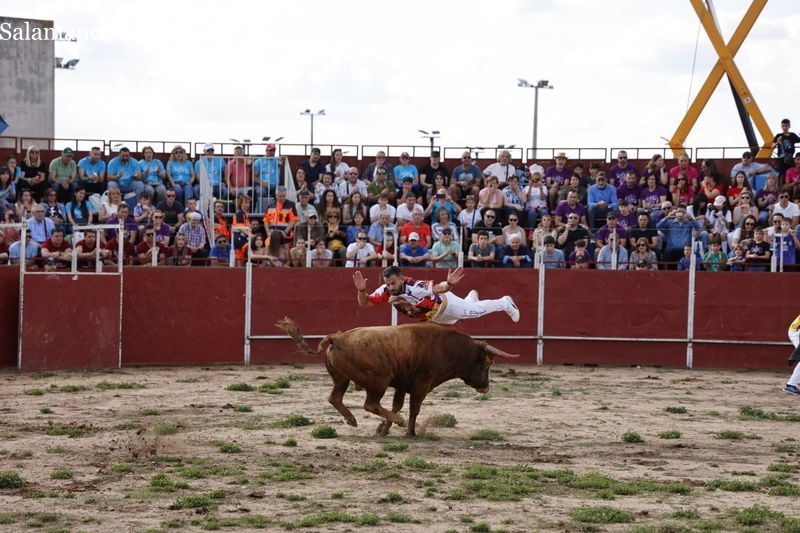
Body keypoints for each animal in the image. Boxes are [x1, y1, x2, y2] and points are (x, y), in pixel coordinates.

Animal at [276, 318, 520, 434]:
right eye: (487, 363)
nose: (485, 386)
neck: (446, 347)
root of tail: (337, 338)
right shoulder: (422, 384)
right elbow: (413, 409)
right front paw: (410, 431)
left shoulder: (402, 384)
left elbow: (397, 405)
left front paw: (383, 430)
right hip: (379, 380)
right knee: (370, 404)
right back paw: (396, 423)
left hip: (342, 379)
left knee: (335, 398)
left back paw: (352, 420)